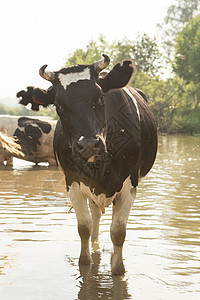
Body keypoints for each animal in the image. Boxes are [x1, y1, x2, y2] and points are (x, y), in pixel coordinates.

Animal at [17, 54, 157, 274]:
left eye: (99, 97)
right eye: (58, 105)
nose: (89, 145)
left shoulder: (130, 183)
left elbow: (118, 231)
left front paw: (118, 269)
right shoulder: (72, 181)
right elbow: (84, 226)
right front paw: (85, 262)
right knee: (95, 217)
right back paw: (95, 245)